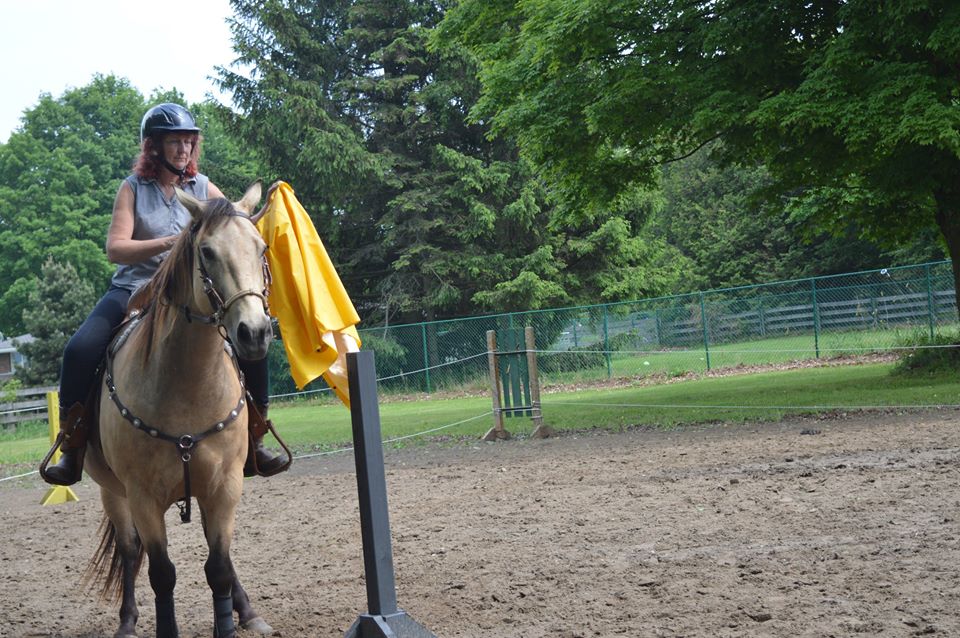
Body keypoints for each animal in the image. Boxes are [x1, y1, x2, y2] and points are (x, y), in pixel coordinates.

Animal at [81, 182, 276, 638]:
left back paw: (248, 612)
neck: (186, 387)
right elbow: (161, 573)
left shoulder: (224, 487)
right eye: (206, 251)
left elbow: (218, 567)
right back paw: (127, 622)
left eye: (260, 247)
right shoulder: (143, 497)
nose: (255, 333)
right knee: (129, 551)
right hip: (112, 493)